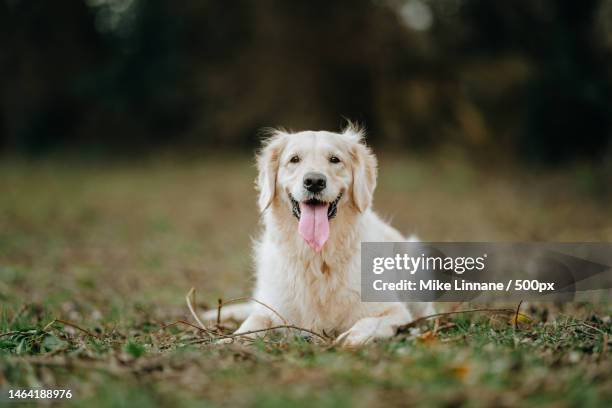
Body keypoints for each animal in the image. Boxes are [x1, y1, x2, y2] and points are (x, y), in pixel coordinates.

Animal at [203, 123, 432, 344]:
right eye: (294, 159)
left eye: (334, 159)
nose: (314, 181)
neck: (316, 256)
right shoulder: (272, 309)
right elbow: (254, 321)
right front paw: (229, 340)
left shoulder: (393, 310)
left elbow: (367, 323)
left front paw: (350, 338)